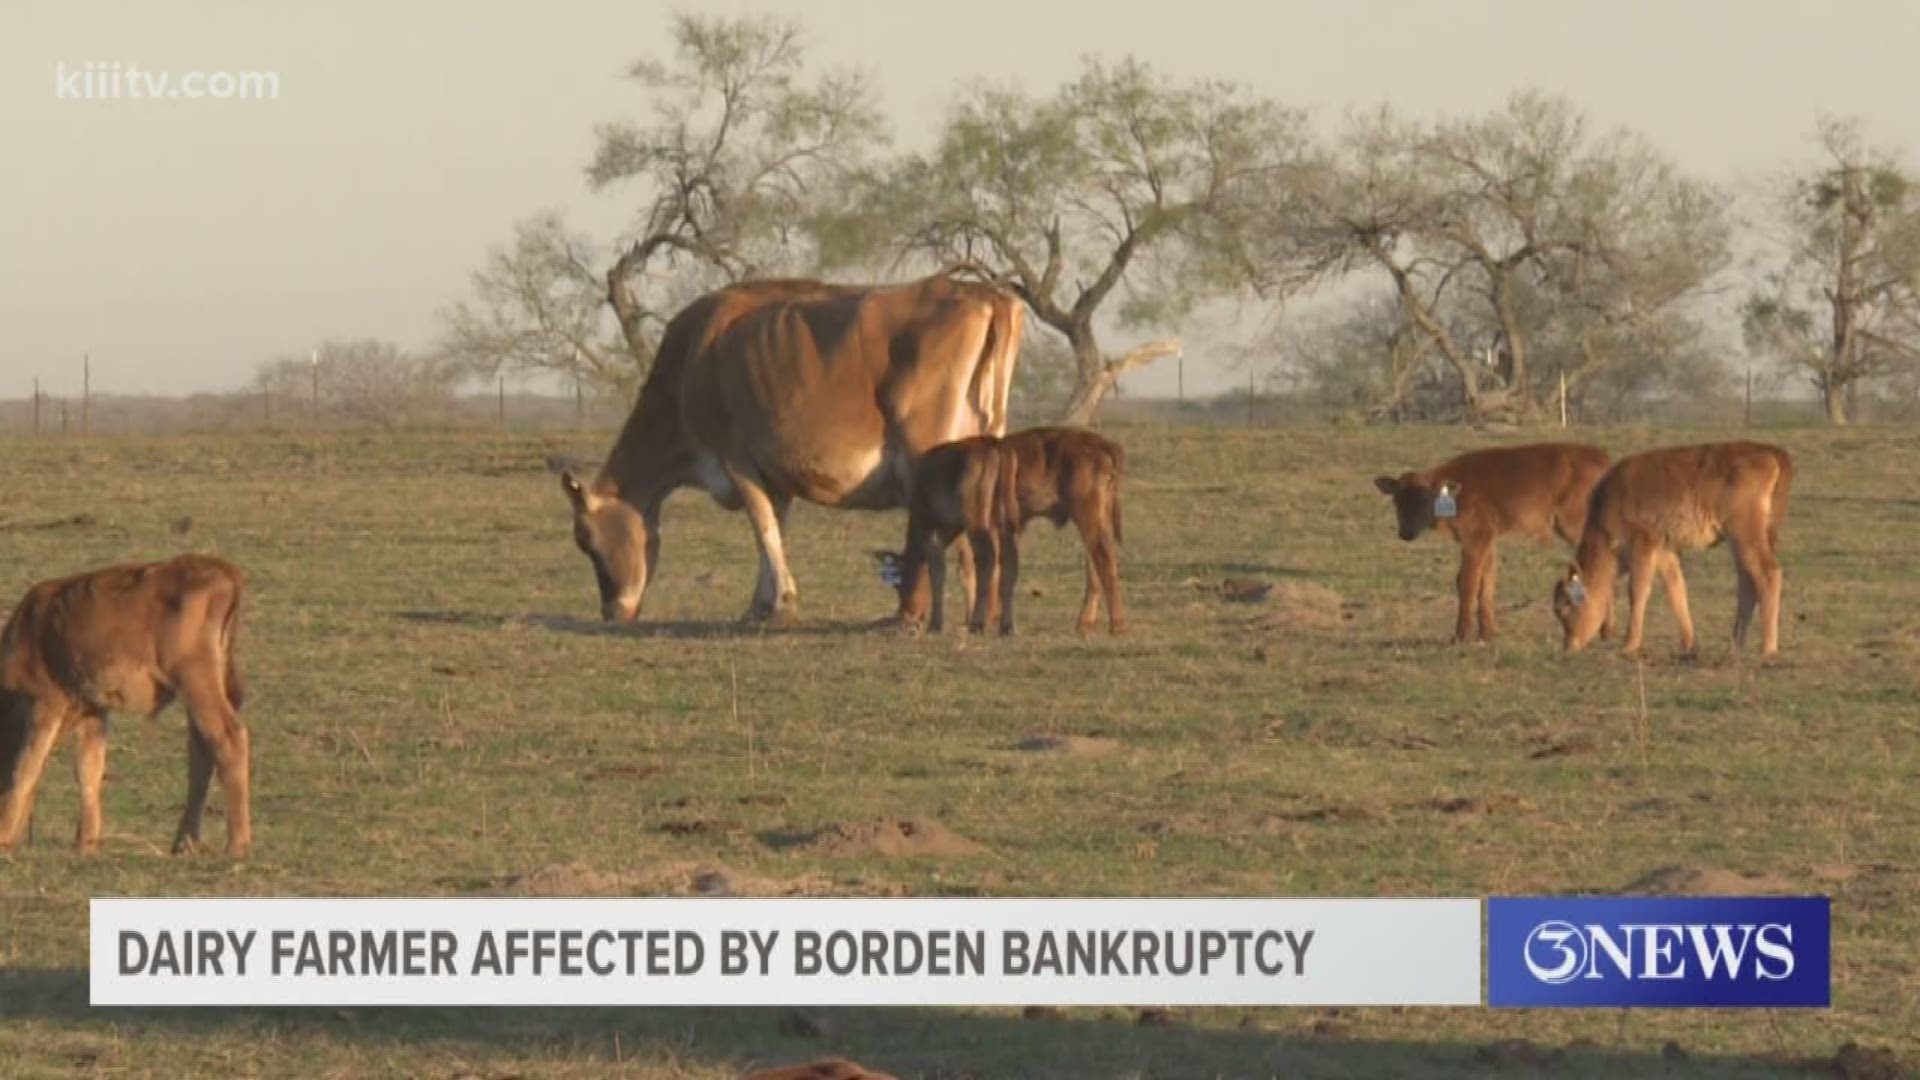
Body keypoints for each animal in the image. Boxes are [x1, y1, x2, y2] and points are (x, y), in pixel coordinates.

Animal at [0, 553, 251, 849]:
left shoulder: (46, 701)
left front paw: (4, 836)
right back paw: (184, 844)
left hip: (196, 680)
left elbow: (25, 768)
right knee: (202, 750)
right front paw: (86, 843)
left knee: (228, 738)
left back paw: (236, 845)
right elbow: (88, 769)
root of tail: (219, 568)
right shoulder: (93, 708)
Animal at [560, 272, 1029, 618]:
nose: (611, 613)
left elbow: (763, 526)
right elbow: (776, 527)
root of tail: (984, 293)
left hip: (926, 447)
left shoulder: (735, 458)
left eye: (589, 542)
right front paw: (760, 604)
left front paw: (781, 601)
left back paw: (909, 614)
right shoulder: (775, 471)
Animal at [883, 424, 1121, 634]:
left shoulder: (937, 526)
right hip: (1095, 518)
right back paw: (1085, 623)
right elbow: (1005, 571)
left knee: (1103, 556)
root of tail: (1102, 444)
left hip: (1084, 516)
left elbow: (946, 570)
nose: (906, 613)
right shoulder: (999, 529)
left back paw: (1117, 625)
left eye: (900, 583)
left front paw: (941, 623)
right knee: (1096, 560)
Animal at [1374, 443, 1612, 641]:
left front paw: (1461, 636)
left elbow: (1467, 582)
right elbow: (1486, 584)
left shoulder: (1475, 538)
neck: (1457, 493)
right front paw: (1487, 634)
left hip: (1575, 526)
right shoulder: (1488, 540)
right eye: (1396, 501)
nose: (1405, 533)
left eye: (1424, 500)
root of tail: (1603, 458)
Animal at [1551, 440, 1789, 657]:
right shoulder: (1665, 549)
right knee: (1747, 581)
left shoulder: (1644, 543)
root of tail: (1770, 452)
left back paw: (1768, 648)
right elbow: (1675, 590)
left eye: (1564, 607)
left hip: (1745, 534)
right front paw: (1689, 644)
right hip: (1741, 540)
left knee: (1768, 573)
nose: (1568, 646)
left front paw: (1629, 645)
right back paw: (1735, 646)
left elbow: (1637, 591)